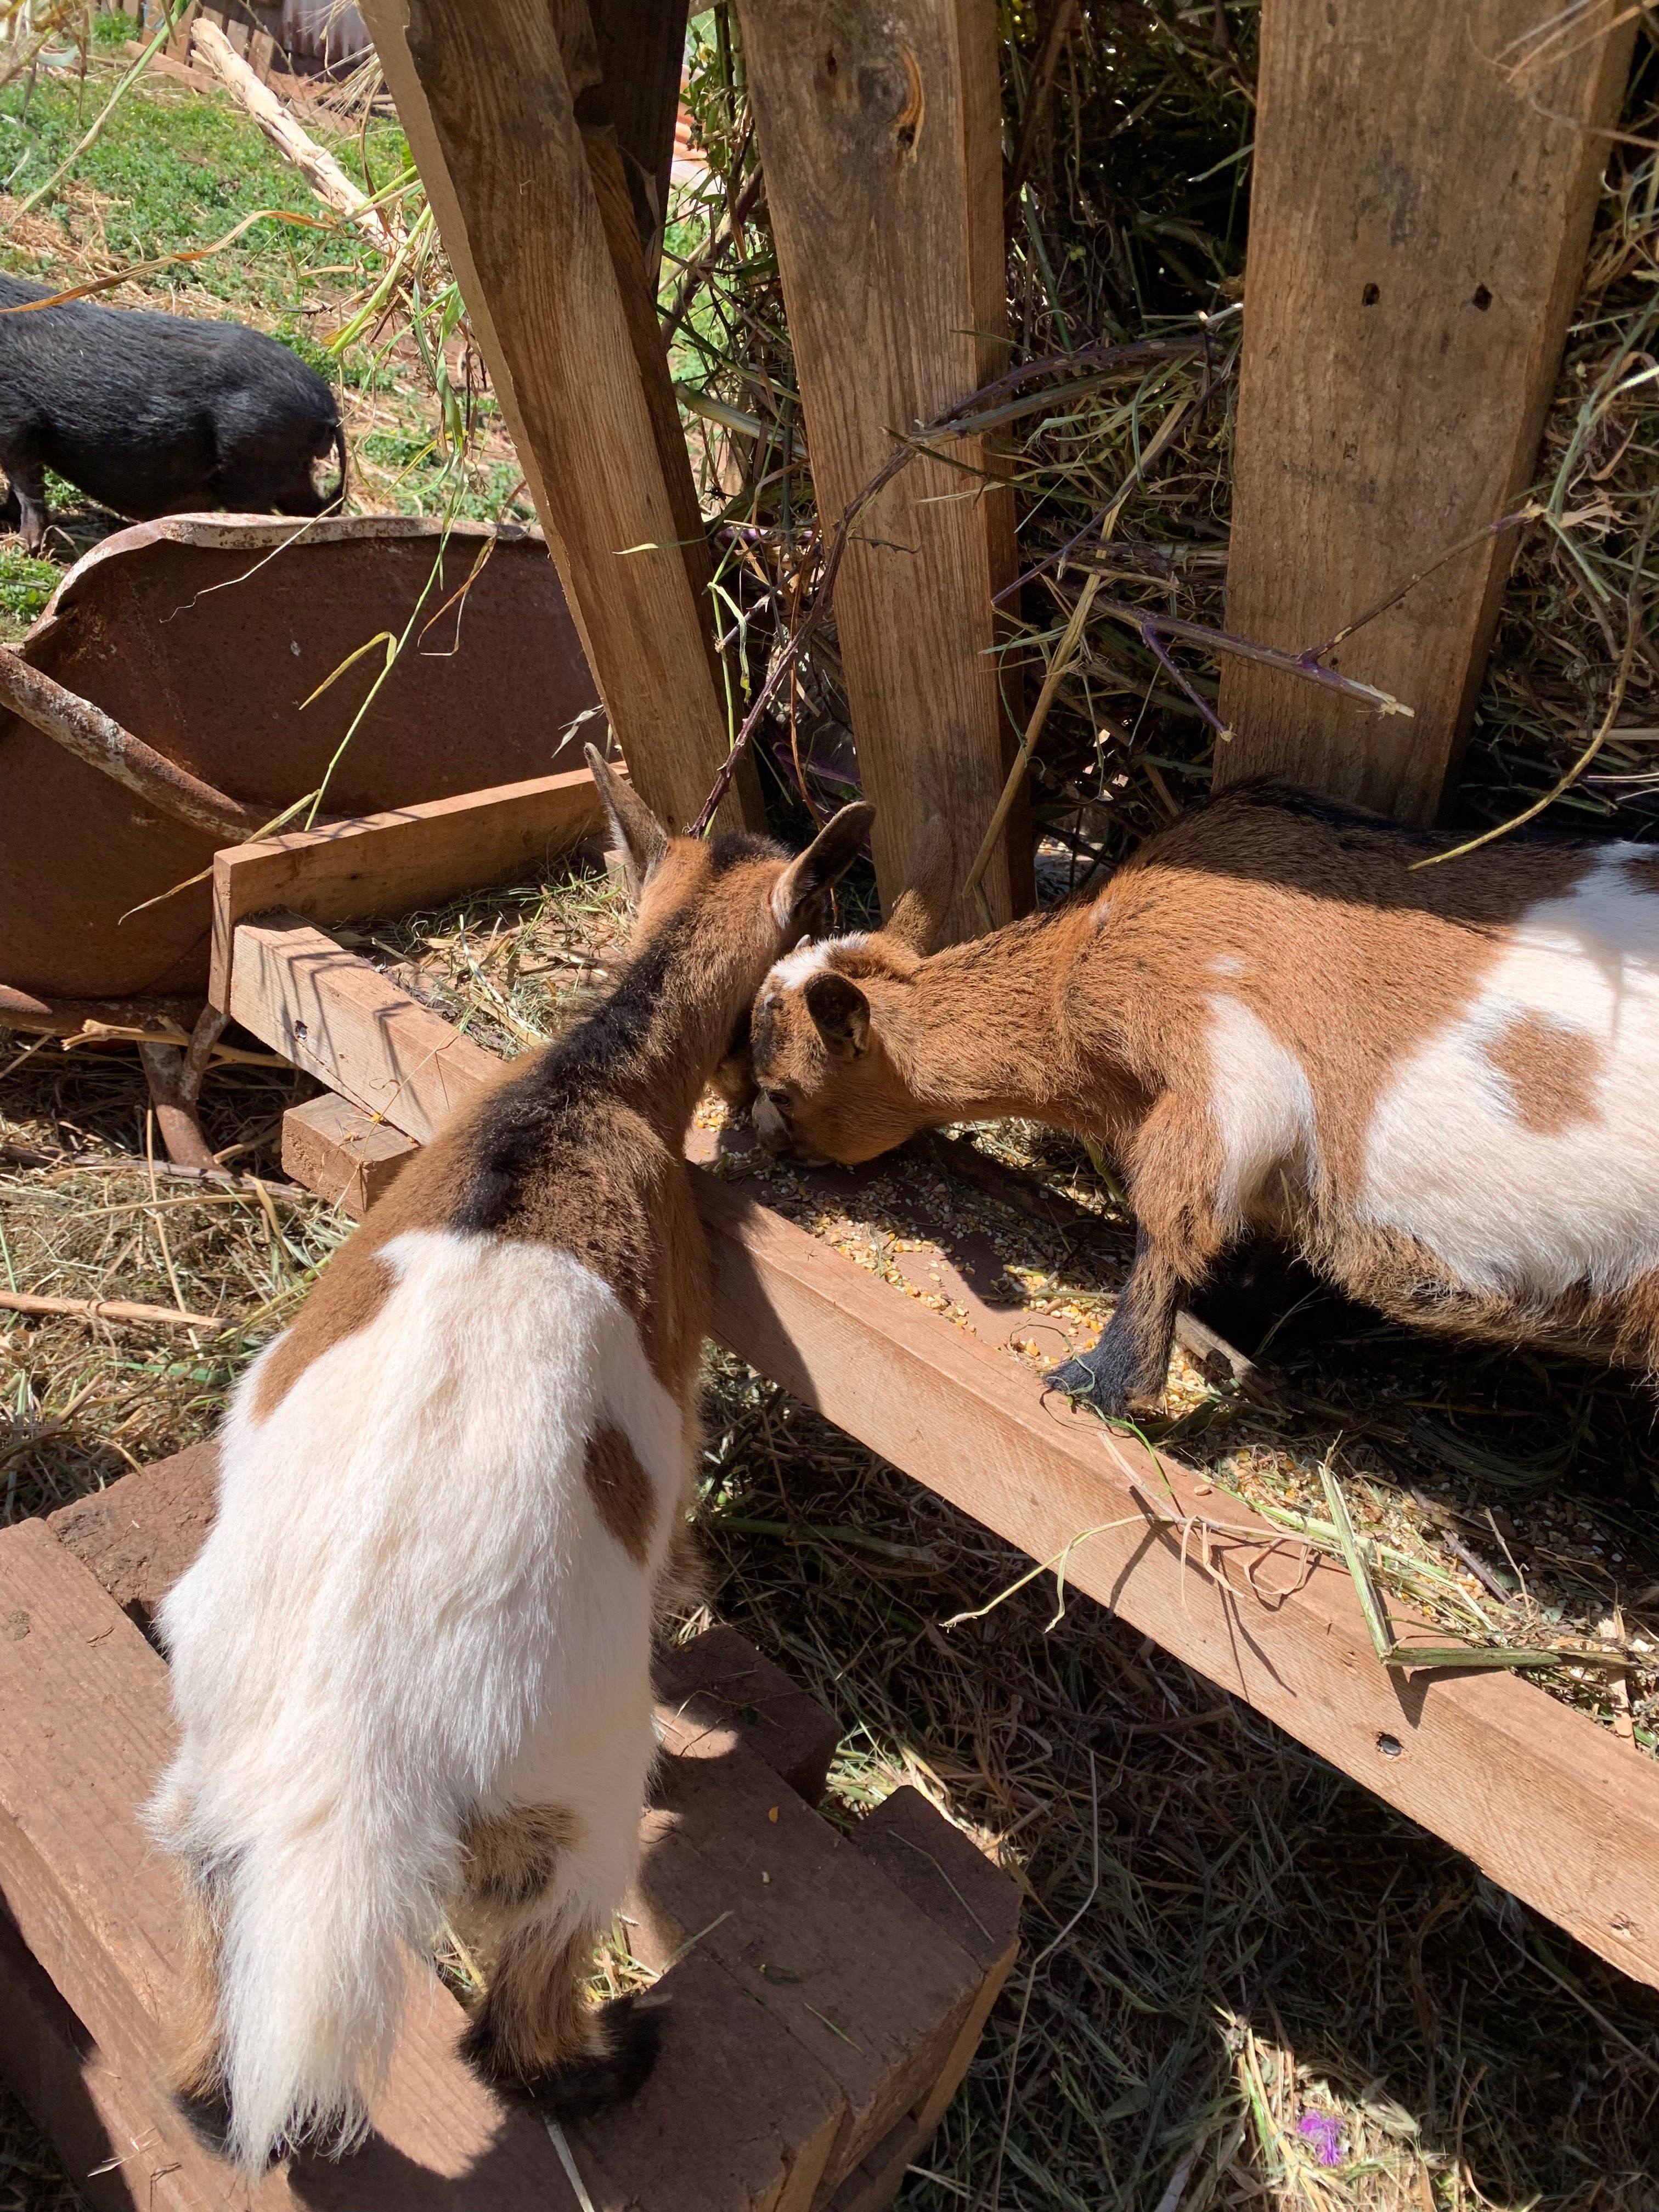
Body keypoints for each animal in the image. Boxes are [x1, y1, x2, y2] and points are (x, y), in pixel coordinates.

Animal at [0, 269, 345, 550]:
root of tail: (328, 408)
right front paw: (7, 521)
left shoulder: (17, 419)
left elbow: (25, 482)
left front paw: (27, 546)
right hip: (288, 469)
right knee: (313, 512)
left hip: (254, 464)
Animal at [151, 752, 876, 2168]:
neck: (588, 1084)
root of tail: (355, 1750)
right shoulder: (682, 1391)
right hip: (572, 1806)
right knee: (519, 2013)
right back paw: (615, 2056)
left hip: (213, 1779)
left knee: (223, 1989)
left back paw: (219, 2100)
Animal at [752, 792, 1659, 1415]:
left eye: (782, 1090)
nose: (764, 1143)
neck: (1084, 957)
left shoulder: (1223, 1056)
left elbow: (1171, 1217)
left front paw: (1099, 1383)